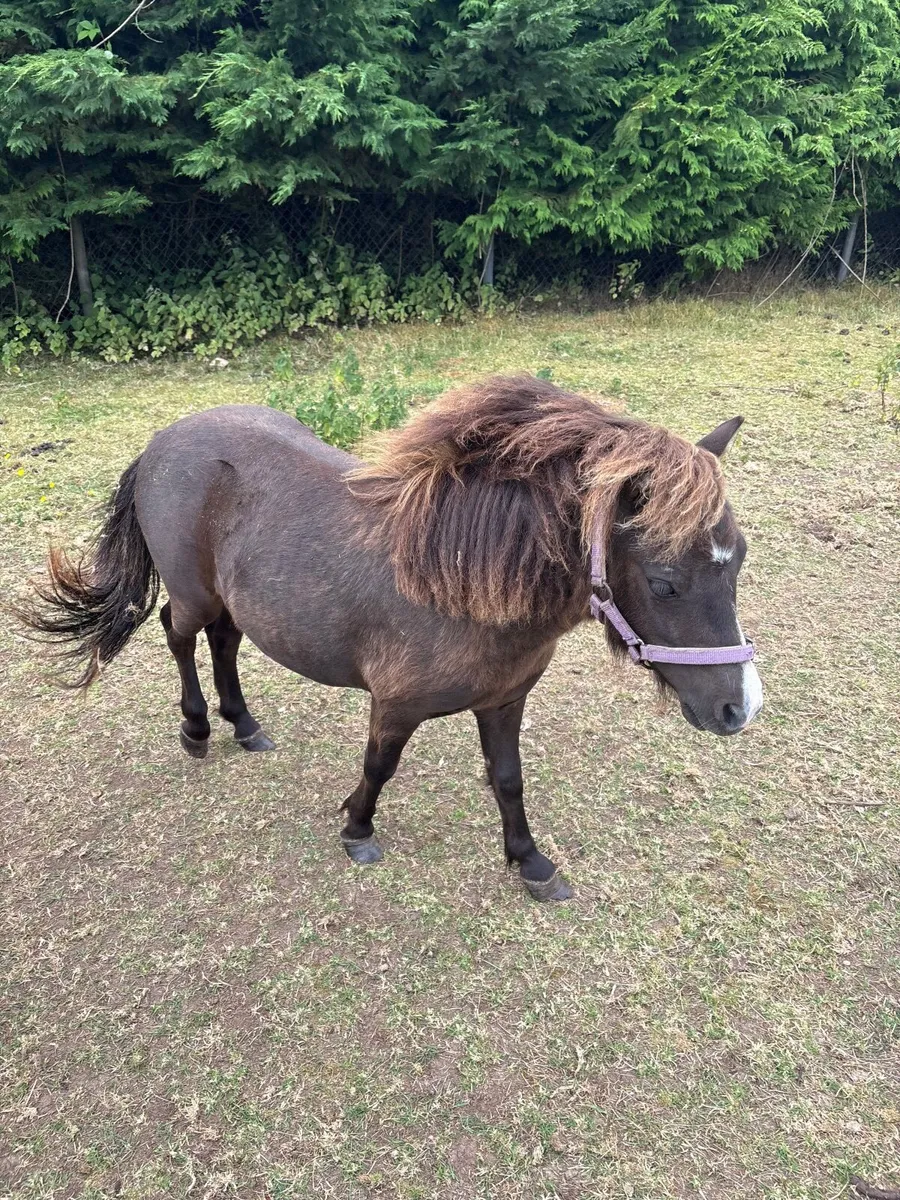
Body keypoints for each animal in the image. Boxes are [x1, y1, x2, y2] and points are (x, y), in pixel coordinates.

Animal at [20, 376, 762, 901]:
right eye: (665, 581)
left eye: (740, 559)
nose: (739, 709)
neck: (466, 580)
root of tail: (162, 441)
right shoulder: (395, 704)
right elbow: (379, 767)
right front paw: (357, 828)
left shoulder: (505, 701)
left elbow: (509, 780)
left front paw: (530, 862)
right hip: (194, 593)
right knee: (179, 638)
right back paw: (198, 729)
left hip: (234, 603)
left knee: (225, 644)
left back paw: (244, 724)